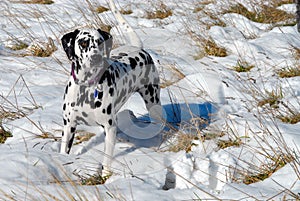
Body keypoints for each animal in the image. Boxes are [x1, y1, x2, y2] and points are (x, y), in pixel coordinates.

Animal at [60, 27, 162, 176]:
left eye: (100, 42)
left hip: (152, 100)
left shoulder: (110, 128)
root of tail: (138, 48)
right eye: (83, 43)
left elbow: (107, 160)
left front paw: (105, 176)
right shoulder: (69, 126)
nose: (95, 58)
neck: (87, 88)